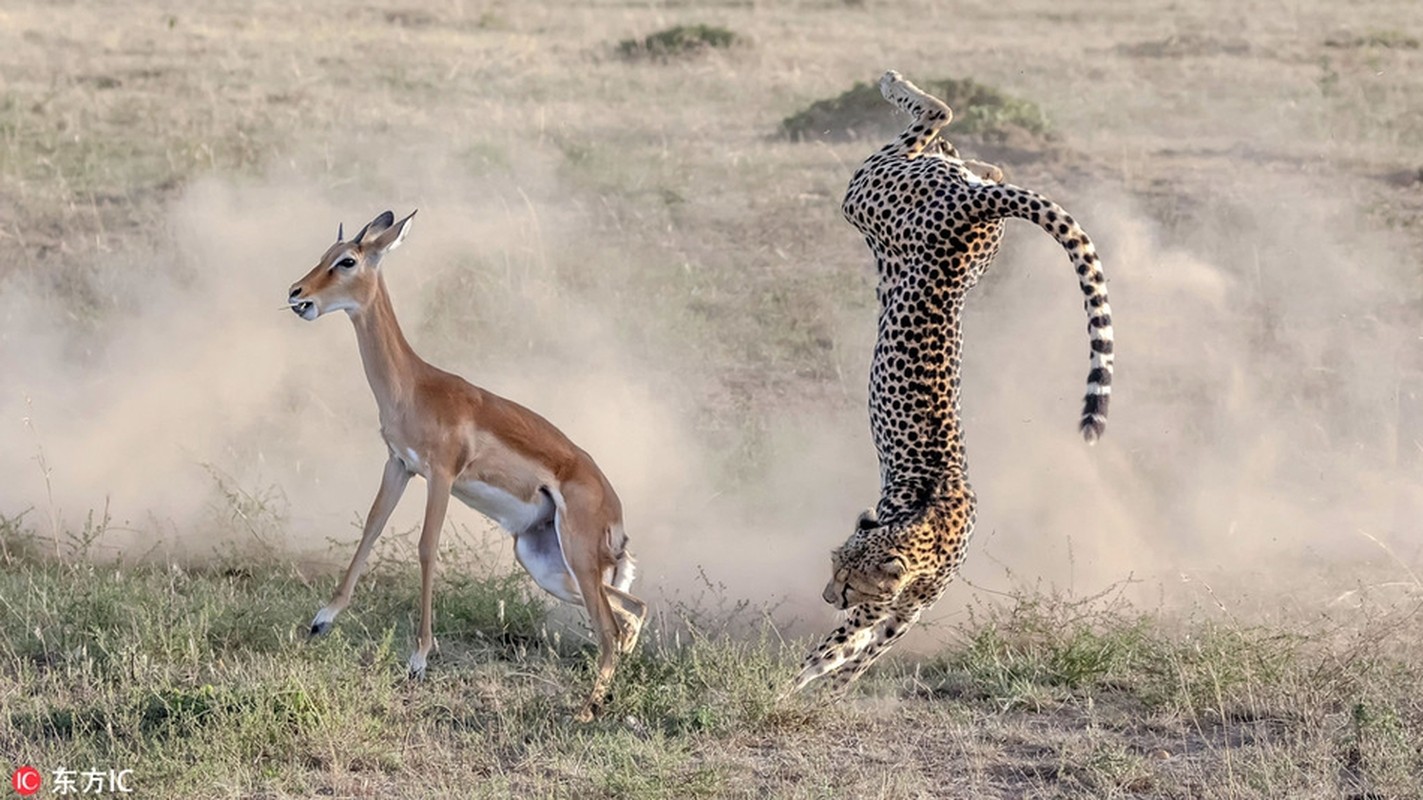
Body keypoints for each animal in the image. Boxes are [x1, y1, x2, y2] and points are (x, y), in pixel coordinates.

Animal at [288, 206, 646, 717]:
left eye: (347, 261)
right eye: (324, 254)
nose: (297, 293)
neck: (414, 385)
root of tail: (614, 509)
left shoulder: (440, 474)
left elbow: (426, 548)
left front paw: (419, 658)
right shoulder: (399, 464)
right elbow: (372, 529)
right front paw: (322, 619)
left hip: (576, 560)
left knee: (611, 629)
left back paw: (584, 711)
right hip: (549, 567)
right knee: (633, 609)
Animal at [791, 70, 1109, 691]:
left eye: (846, 581)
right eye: (833, 567)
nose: (825, 595)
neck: (923, 536)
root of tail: (975, 203)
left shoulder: (905, 610)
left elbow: (858, 650)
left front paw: (826, 685)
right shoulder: (896, 605)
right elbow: (842, 649)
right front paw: (800, 684)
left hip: (886, 205)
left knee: (946, 134)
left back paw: (921, 107)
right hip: (874, 197)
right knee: (940, 125)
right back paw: (900, 88)